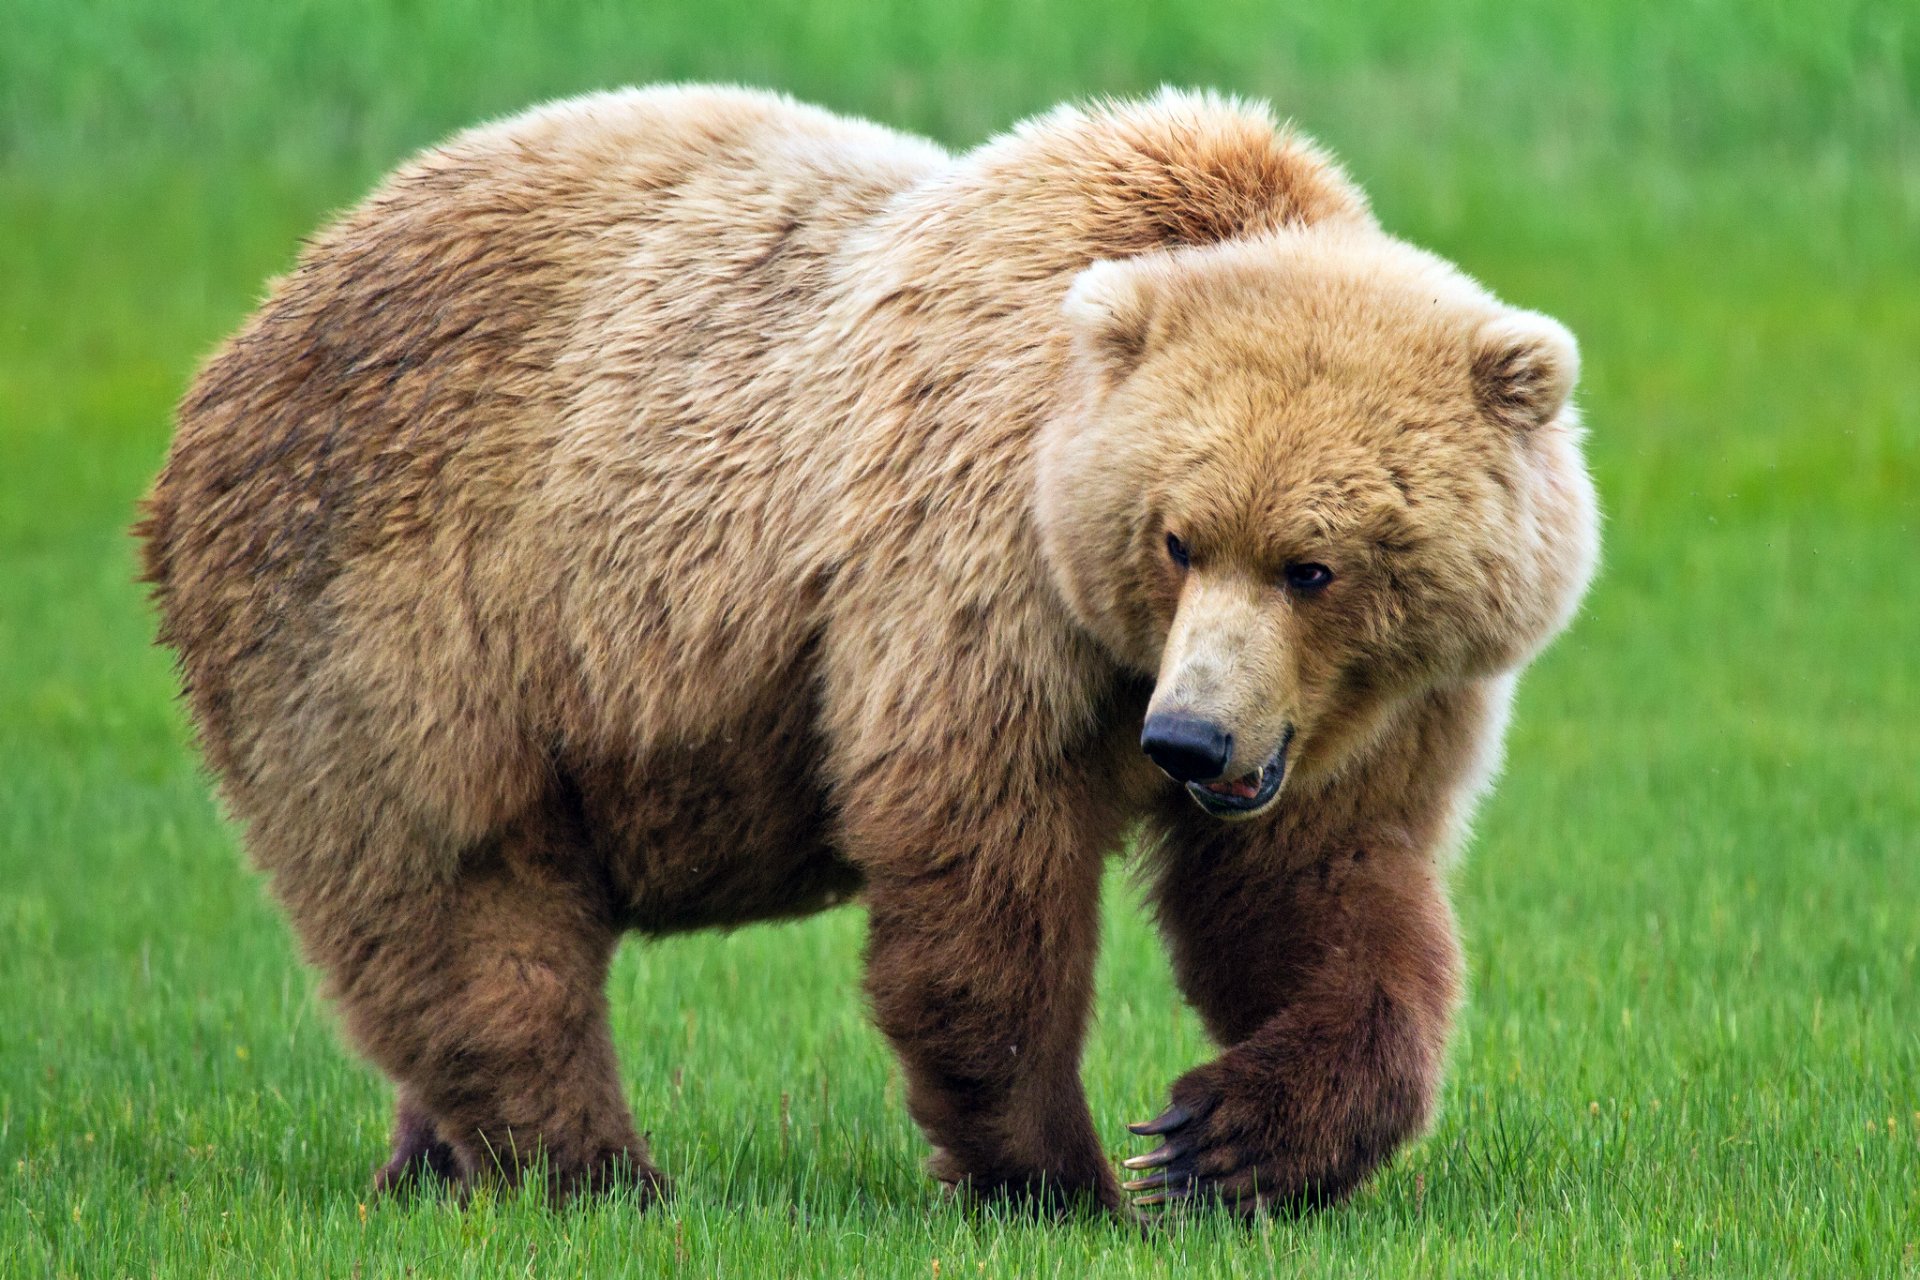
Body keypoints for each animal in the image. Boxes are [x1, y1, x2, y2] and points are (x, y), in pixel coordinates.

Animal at [137, 85, 1598, 1217]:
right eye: (1178, 538)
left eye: (1315, 565)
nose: (1187, 742)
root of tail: (252, 326)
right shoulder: (976, 561)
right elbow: (977, 861)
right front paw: (1063, 1177)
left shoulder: (1371, 706)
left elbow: (1322, 891)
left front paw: (1220, 1138)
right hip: (403, 603)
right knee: (464, 895)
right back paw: (595, 1171)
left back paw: (431, 1165)